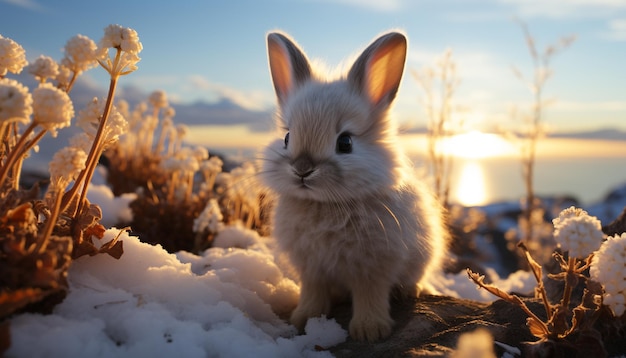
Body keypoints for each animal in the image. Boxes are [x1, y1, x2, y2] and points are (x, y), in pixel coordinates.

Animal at [260, 30, 446, 342]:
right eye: (287, 137)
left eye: (345, 142)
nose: (302, 170)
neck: (325, 204)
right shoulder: (311, 270)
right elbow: (314, 294)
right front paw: (303, 319)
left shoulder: (372, 268)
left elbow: (370, 295)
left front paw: (370, 332)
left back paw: (412, 291)